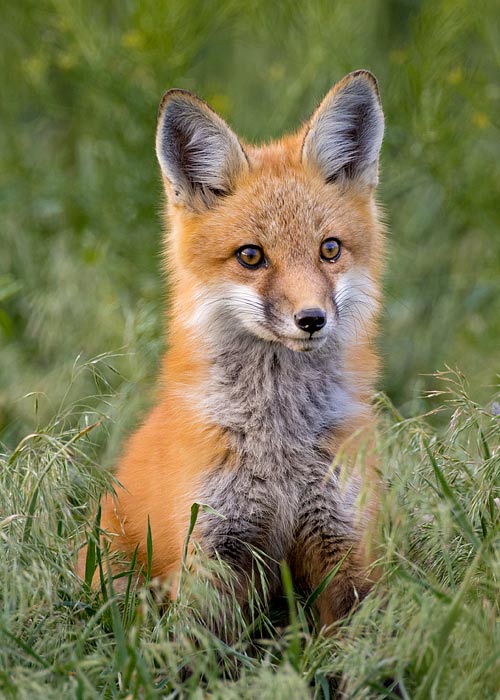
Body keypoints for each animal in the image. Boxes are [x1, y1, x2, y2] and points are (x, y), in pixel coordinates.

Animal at [79, 69, 385, 631]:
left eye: (329, 249)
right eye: (251, 256)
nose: (312, 319)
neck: (279, 441)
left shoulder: (346, 543)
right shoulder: (212, 549)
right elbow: (196, 649)